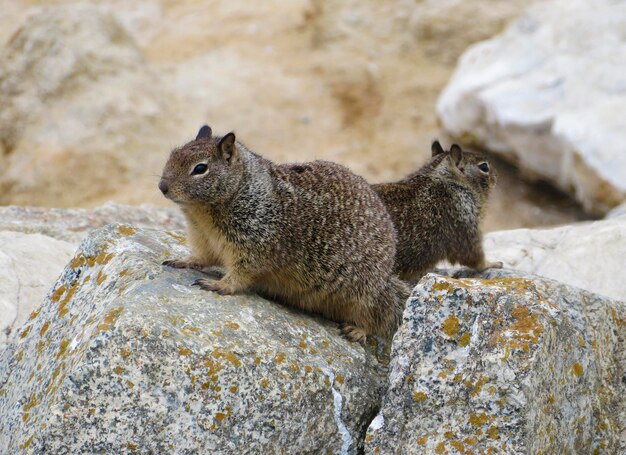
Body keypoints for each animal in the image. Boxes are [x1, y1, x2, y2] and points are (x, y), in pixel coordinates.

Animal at [158, 124, 408, 342]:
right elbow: (202, 257)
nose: (162, 187)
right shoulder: (203, 238)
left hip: (364, 293)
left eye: (200, 168)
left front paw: (219, 285)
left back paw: (357, 330)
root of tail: (387, 277)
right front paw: (182, 261)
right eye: (172, 155)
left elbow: (241, 274)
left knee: (381, 316)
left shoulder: (255, 244)